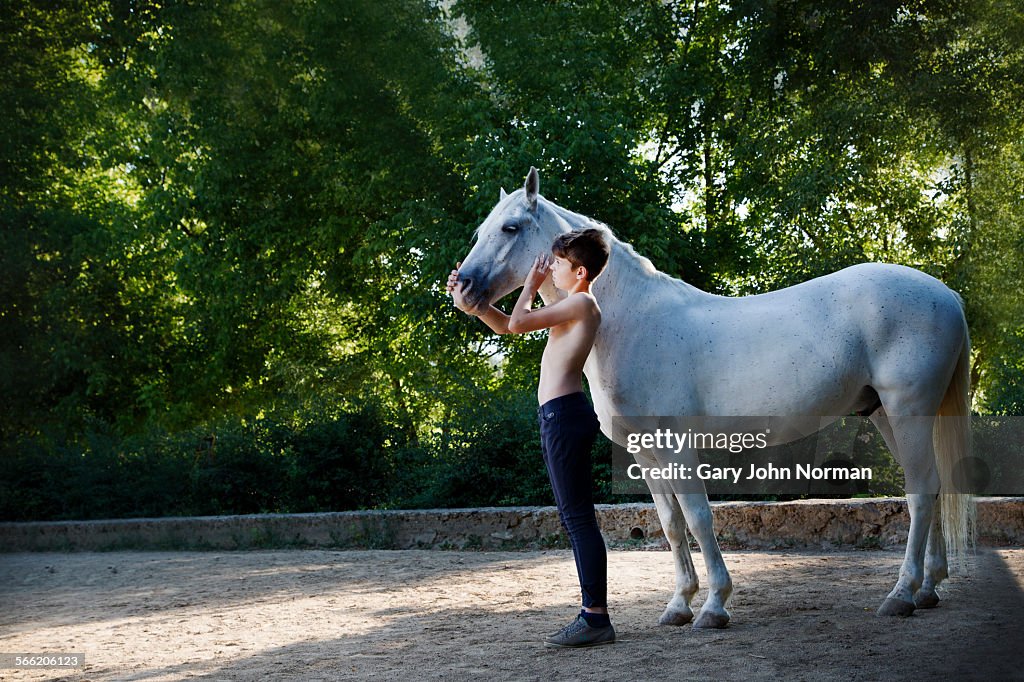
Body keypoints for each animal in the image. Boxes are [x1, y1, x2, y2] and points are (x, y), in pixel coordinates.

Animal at [456, 166, 974, 622]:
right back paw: (927, 589)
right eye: (480, 230)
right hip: (886, 415)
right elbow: (670, 523)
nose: (462, 288)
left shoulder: (679, 449)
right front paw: (678, 605)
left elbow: (699, 517)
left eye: (510, 227)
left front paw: (713, 606)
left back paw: (901, 595)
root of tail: (946, 294)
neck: (631, 322)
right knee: (930, 487)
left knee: (921, 492)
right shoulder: (645, 454)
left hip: (908, 411)